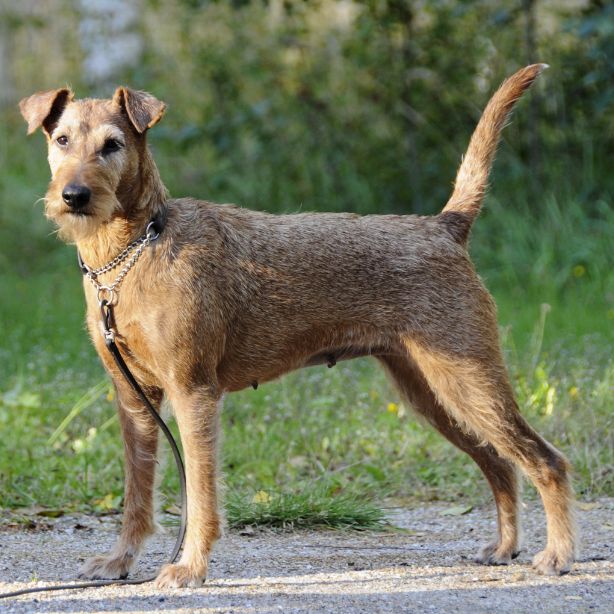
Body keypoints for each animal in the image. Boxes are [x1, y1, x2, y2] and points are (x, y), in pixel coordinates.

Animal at [19, 65, 576, 588]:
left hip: (467, 380)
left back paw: (558, 554)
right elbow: (138, 493)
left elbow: (201, 494)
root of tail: (445, 225)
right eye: (61, 139)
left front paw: (190, 567)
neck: (136, 249)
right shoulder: (134, 398)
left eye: (112, 145)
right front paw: (119, 561)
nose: (74, 195)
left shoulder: (193, 392)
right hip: (434, 393)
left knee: (545, 460)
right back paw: (504, 547)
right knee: (500, 463)